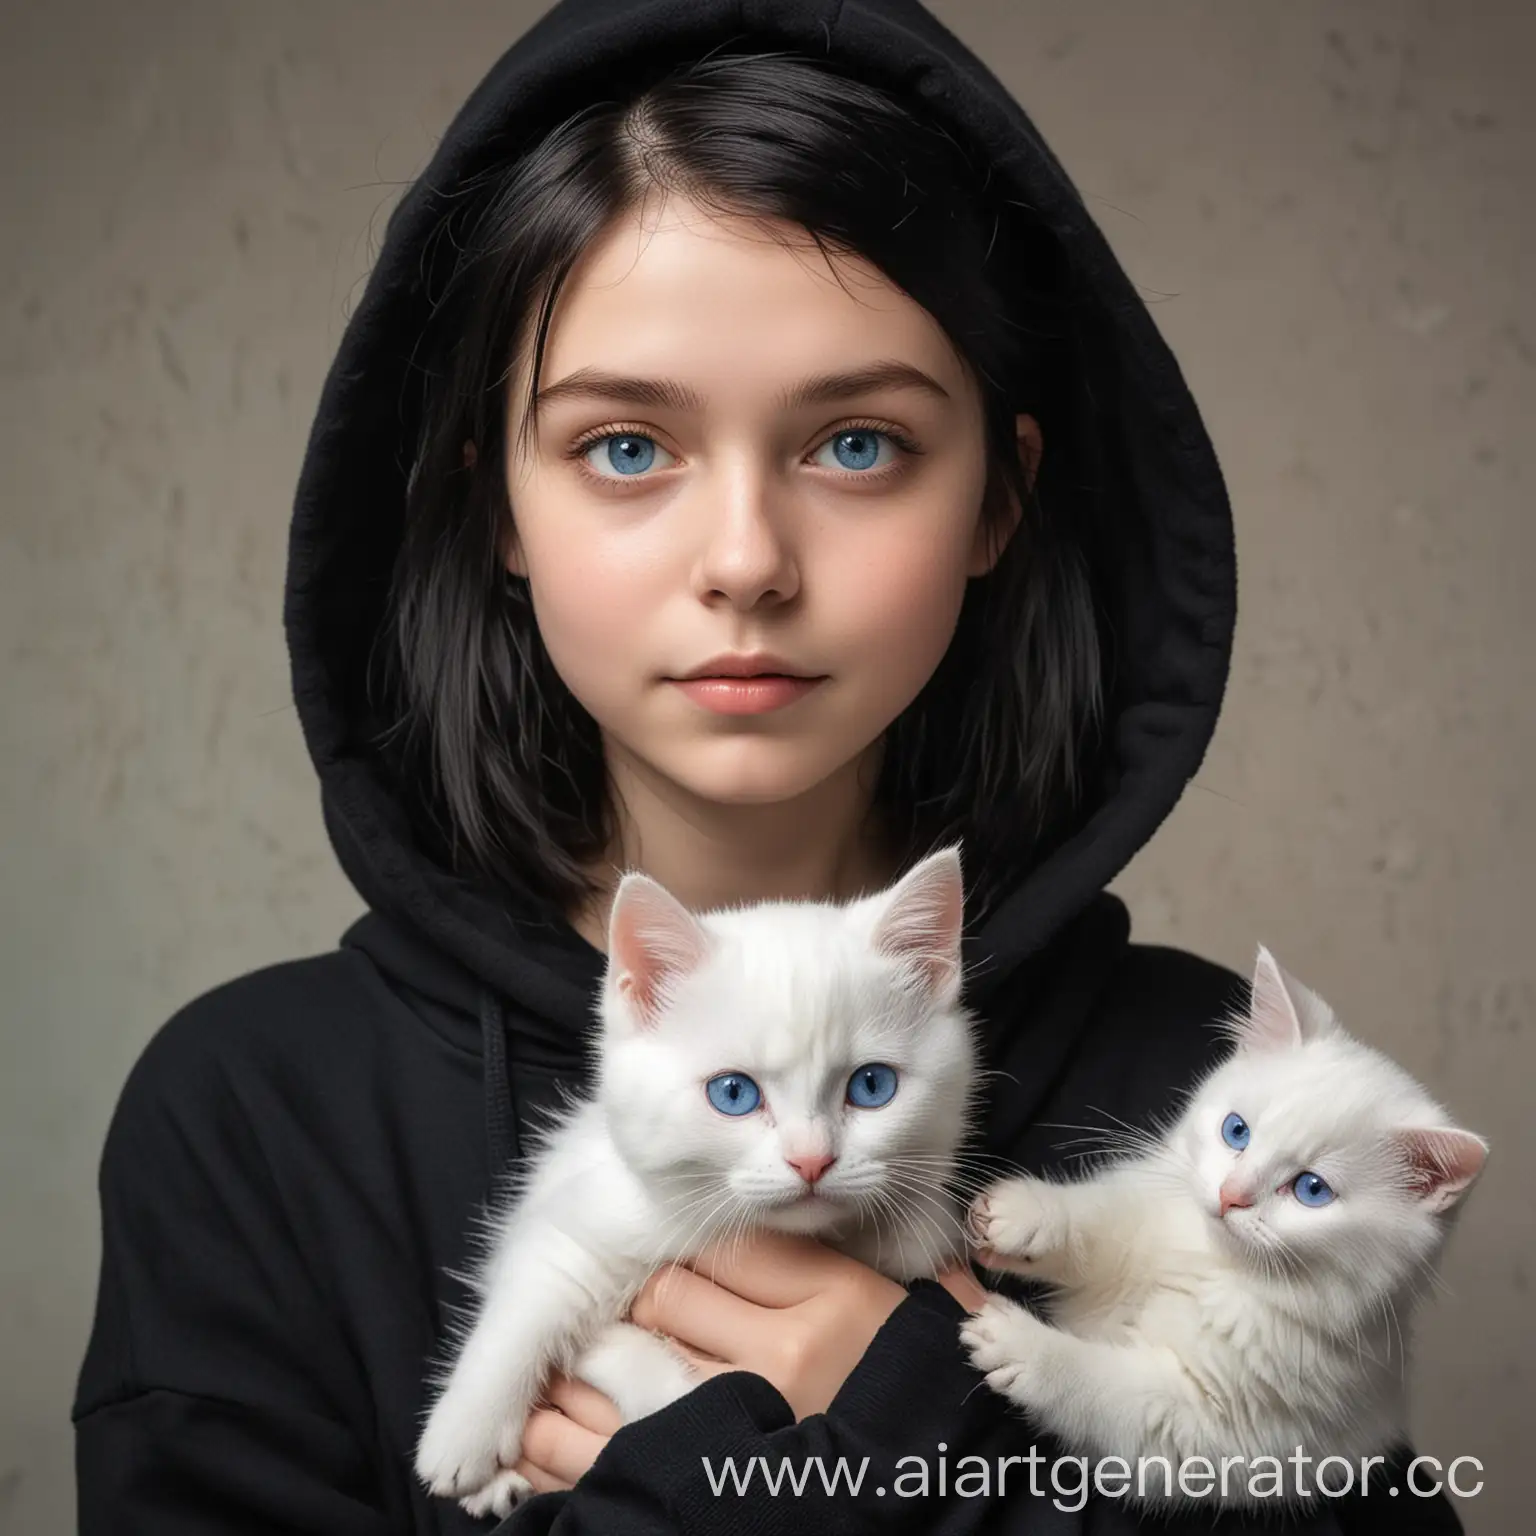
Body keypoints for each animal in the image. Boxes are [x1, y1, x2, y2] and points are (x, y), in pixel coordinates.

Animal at [414, 847, 976, 1517]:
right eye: (733, 1093)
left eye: (872, 1086)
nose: (812, 1160)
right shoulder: (577, 1212)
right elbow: (535, 1301)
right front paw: (461, 1436)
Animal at [958, 946, 1486, 1499]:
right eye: (1237, 1131)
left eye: (1311, 1189)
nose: (1231, 1196)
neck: (1211, 1265)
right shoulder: (1151, 1210)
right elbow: (1101, 1222)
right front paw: (1026, 1216)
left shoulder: (1220, 1432)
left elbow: (1115, 1394)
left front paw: (1027, 1348)